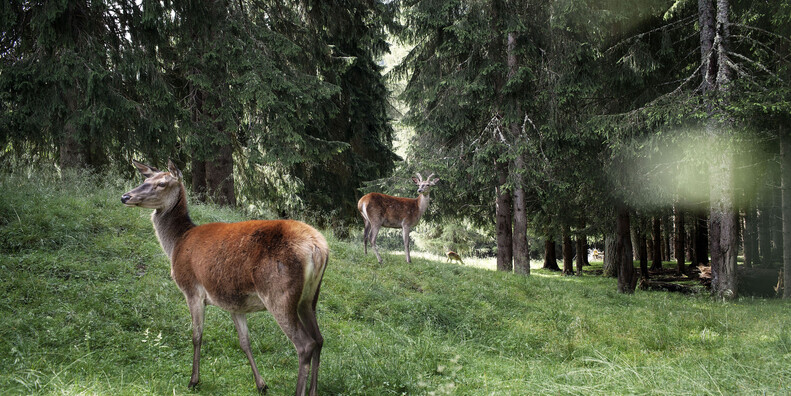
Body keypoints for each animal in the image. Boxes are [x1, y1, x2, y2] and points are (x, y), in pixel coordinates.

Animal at [118, 159, 328, 394]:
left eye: (161, 183)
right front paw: (261, 384)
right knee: (319, 339)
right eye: (145, 180)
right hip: (309, 297)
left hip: (279, 294)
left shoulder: (191, 290)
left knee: (305, 344)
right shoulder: (233, 302)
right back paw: (313, 390)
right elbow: (244, 341)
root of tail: (317, 247)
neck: (176, 244)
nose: (125, 196)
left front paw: (193, 380)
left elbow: (196, 336)